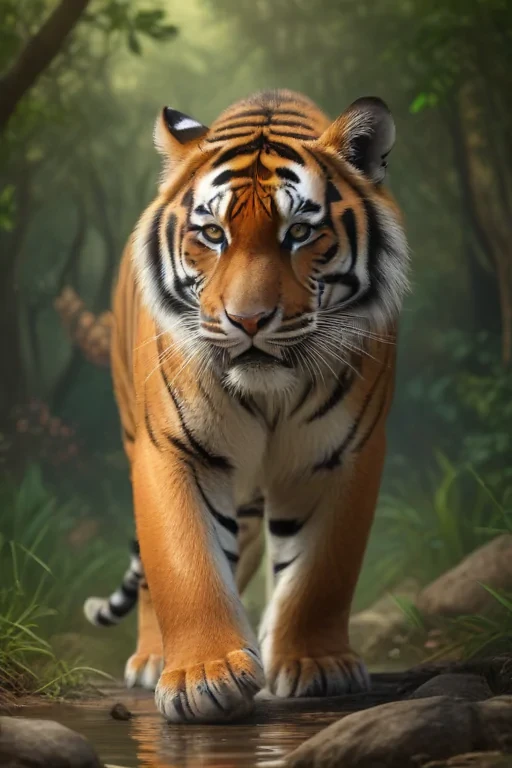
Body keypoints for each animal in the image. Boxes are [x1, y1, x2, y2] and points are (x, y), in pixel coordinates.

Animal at [83, 89, 408, 723]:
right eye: (212, 234)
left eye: (300, 232)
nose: (249, 320)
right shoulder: (172, 449)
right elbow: (183, 562)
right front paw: (201, 676)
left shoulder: (344, 453)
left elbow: (320, 574)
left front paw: (317, 666)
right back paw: (154, 660)